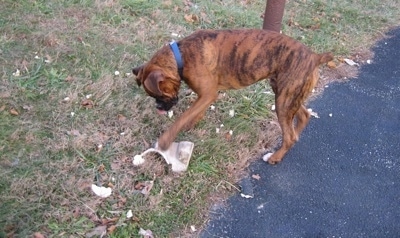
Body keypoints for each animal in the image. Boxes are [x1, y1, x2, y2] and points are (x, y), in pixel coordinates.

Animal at [133, 28, 332, 165]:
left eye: (157, 94)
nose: (158, 107)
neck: (181, 55)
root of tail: (315, 57)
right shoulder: (206, 97)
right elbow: (194, 113)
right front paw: (191, 123)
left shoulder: (207, 94)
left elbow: (181, 117)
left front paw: (165, 141)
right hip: (287, 95)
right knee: (303, 117)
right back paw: (292, 138)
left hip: (284, 100)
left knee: (290, 135)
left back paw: (275, 157)